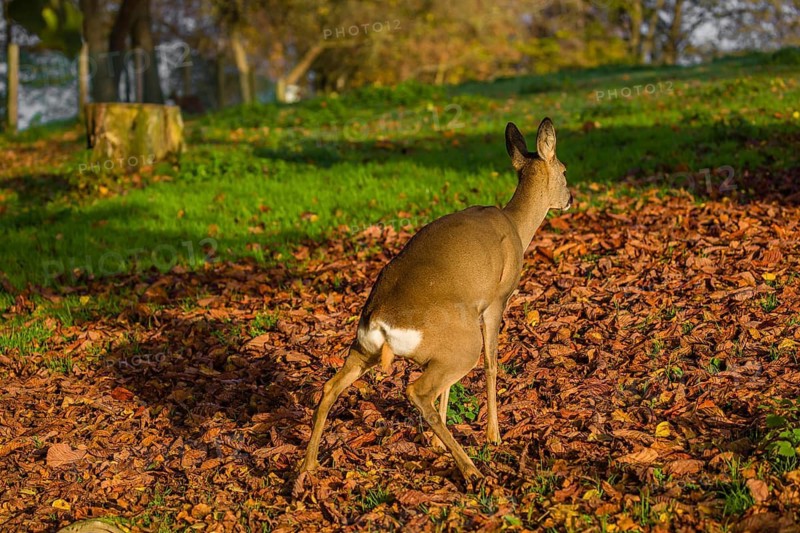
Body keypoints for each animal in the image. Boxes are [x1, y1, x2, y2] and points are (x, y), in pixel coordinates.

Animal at [298, 118, 572, 483]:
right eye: (565, 170)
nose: (570, 198)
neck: (517, 226)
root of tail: (382, 322)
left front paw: (439, 440)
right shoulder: (495, 301)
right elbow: (492, 363)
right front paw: (493, 435)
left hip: (368, 348)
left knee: (330, 387)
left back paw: (308, 466)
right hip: (460, 343)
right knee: (418, 390)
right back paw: (472, 470)